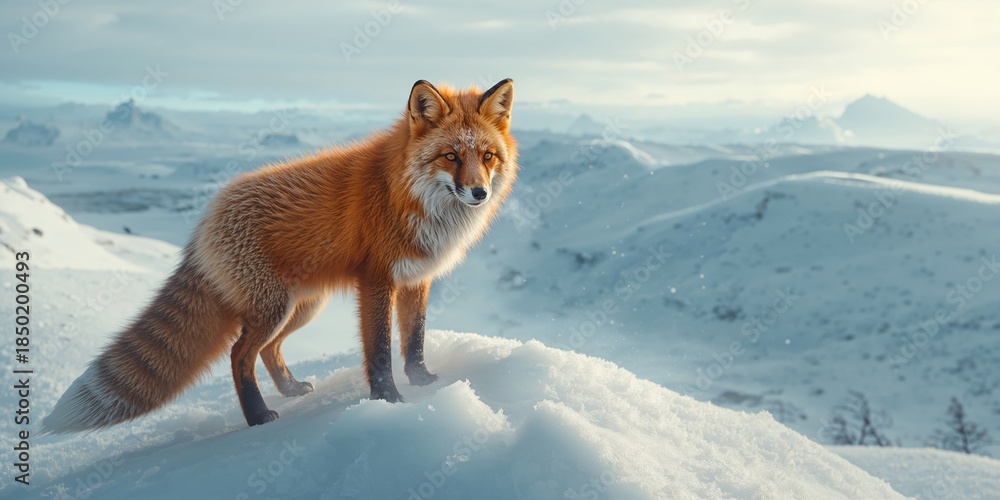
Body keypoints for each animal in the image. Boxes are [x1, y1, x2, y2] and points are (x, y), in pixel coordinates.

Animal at [42, 78, 517, 431]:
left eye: (487, 156)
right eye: (451, 156)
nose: (478, 193)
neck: (406, 195)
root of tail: (204, 223)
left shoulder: (417, 278)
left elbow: (414, 340)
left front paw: (424, 383)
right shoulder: (377, 281)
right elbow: (381, 351)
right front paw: (389, 400)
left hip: (300, 308)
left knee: (268, 351)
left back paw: (289, 390)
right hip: (274, 308)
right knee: (240, 355)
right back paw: (257, 417)